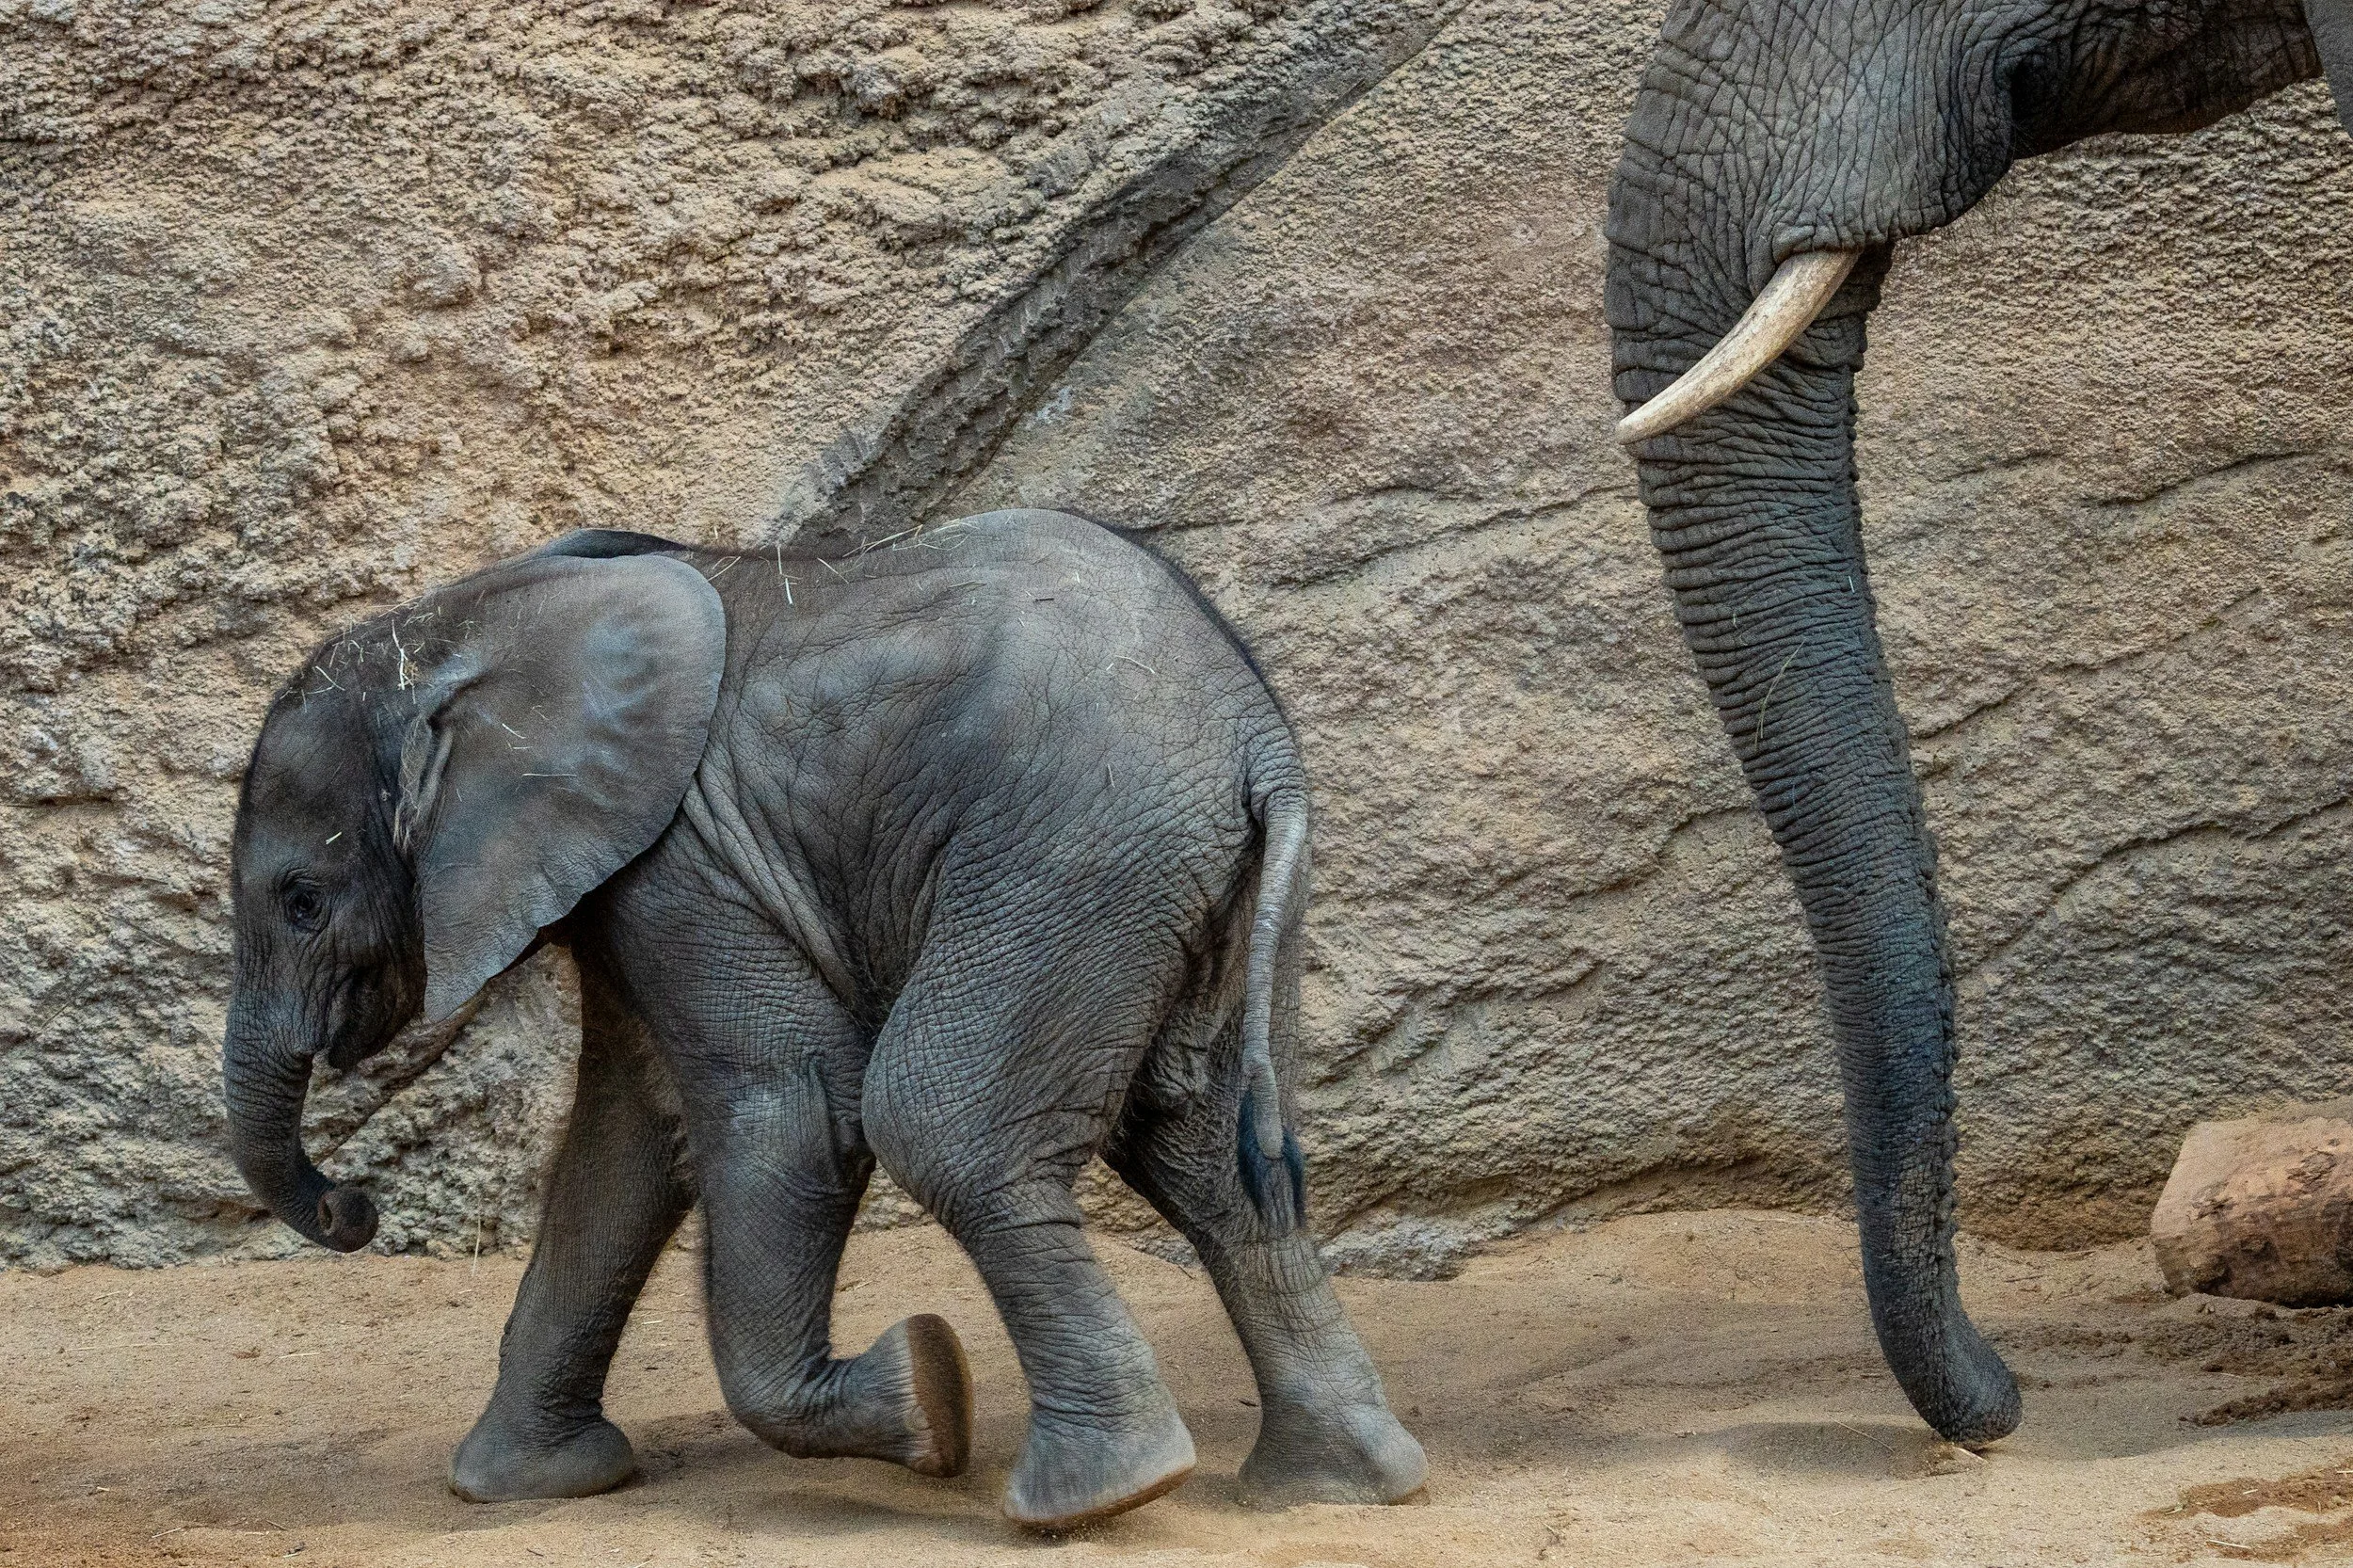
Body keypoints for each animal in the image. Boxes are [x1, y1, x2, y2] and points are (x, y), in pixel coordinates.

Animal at [219, 508, 1427, 1529]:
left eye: (302, 898)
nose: (352, 1207)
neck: (467, 621)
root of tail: (1258, 735)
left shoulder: (682, 857)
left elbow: (788, 1108)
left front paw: (929, 1397)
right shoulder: (637, 878)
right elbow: (629, 1138)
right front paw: (526, 1486)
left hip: (1075, 852)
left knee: (942, 1122)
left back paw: (1098, 1495)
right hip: (1188, 885)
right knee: (1210, 1154)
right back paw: (1335, 1487)